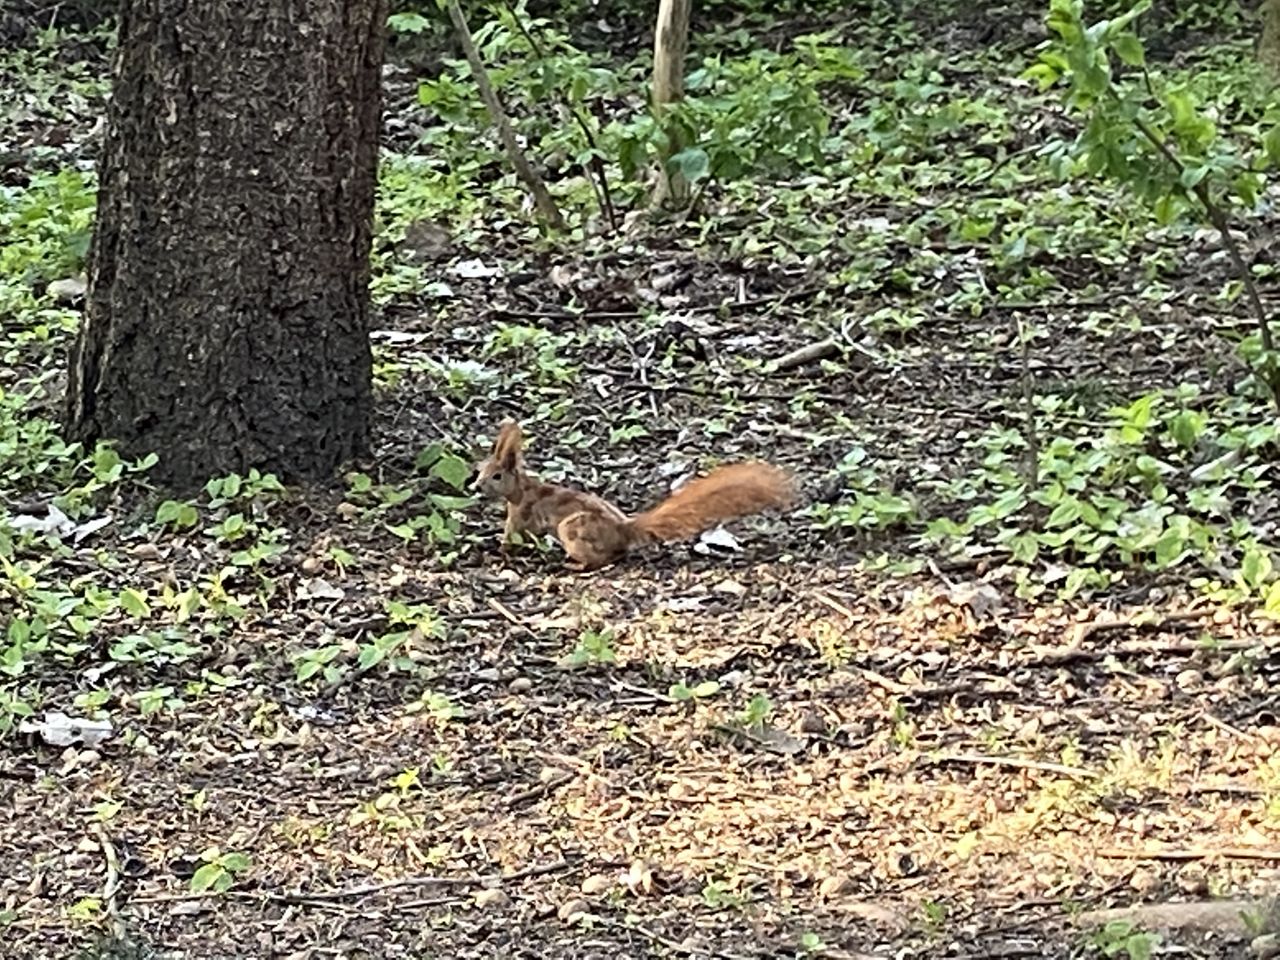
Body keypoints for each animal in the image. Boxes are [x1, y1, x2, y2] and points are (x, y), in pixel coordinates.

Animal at [471, 417, 788, 568]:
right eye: (479, 470)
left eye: (496, 475)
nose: (475, 487)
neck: (521, 490)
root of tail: (622, 531)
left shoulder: (521, 515)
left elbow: (511, 537)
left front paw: (496, 550)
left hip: (572, 529)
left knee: (602, 559)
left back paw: (573, 565)